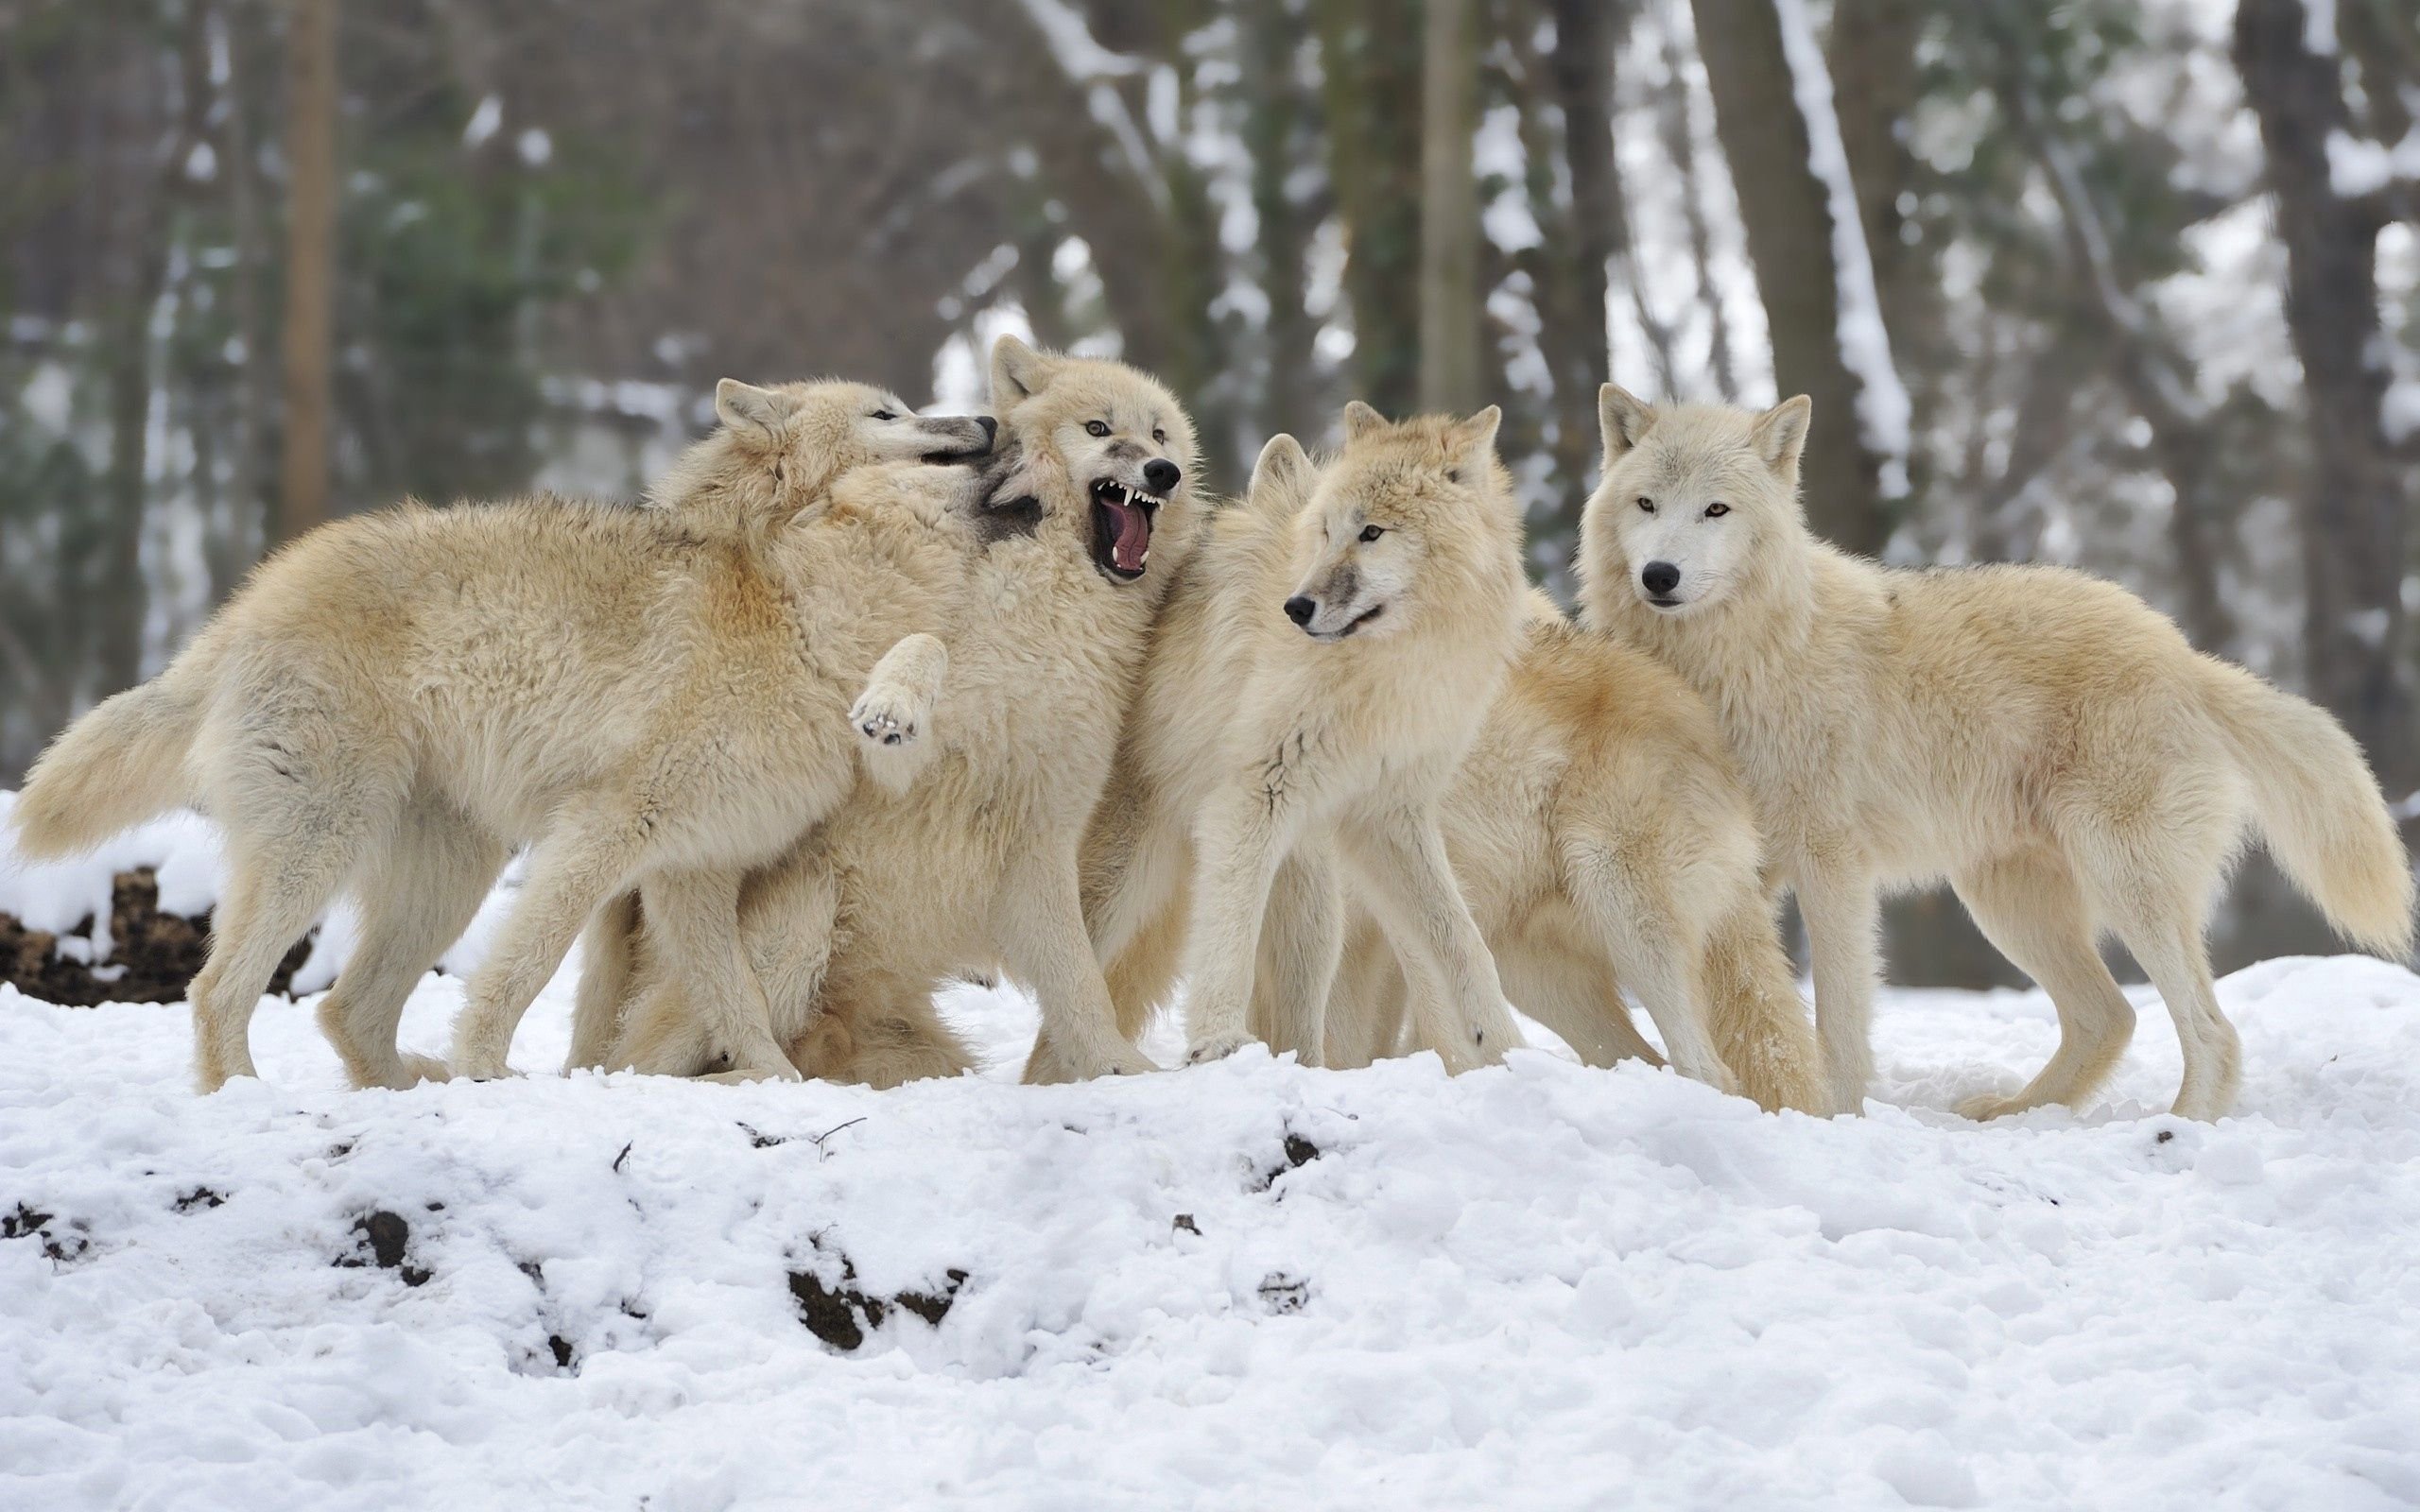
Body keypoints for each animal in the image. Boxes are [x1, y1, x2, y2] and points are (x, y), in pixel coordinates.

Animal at [9, 374, 992, 1083]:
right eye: (889, 412)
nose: (985, 420)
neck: (788, 611)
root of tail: (245, 605)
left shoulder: (692, 869)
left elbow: (737, 1001)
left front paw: (775, 1087)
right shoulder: (604, 831)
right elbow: (528, 969)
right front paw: (490, 1068)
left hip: (448, 874)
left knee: (346, 1010)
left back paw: (410, 1090)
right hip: (323, 844)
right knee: (219, 991)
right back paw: (255, 1101)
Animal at [1578, 387, 2410, 1122]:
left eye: (1715, 511)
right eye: (1647, 505)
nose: (1660, 576)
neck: (1736, 662)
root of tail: (2186, 656)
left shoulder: (1830, 865)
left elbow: (1837, 1022)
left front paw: (1836, 1118)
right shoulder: (1736, 870)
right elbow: (1745, 1009)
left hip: (2121, 883)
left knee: (2211, 1030)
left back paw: (2179, 1129)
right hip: (2007, 904)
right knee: (2110, 1016)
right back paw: (2015, 1114)